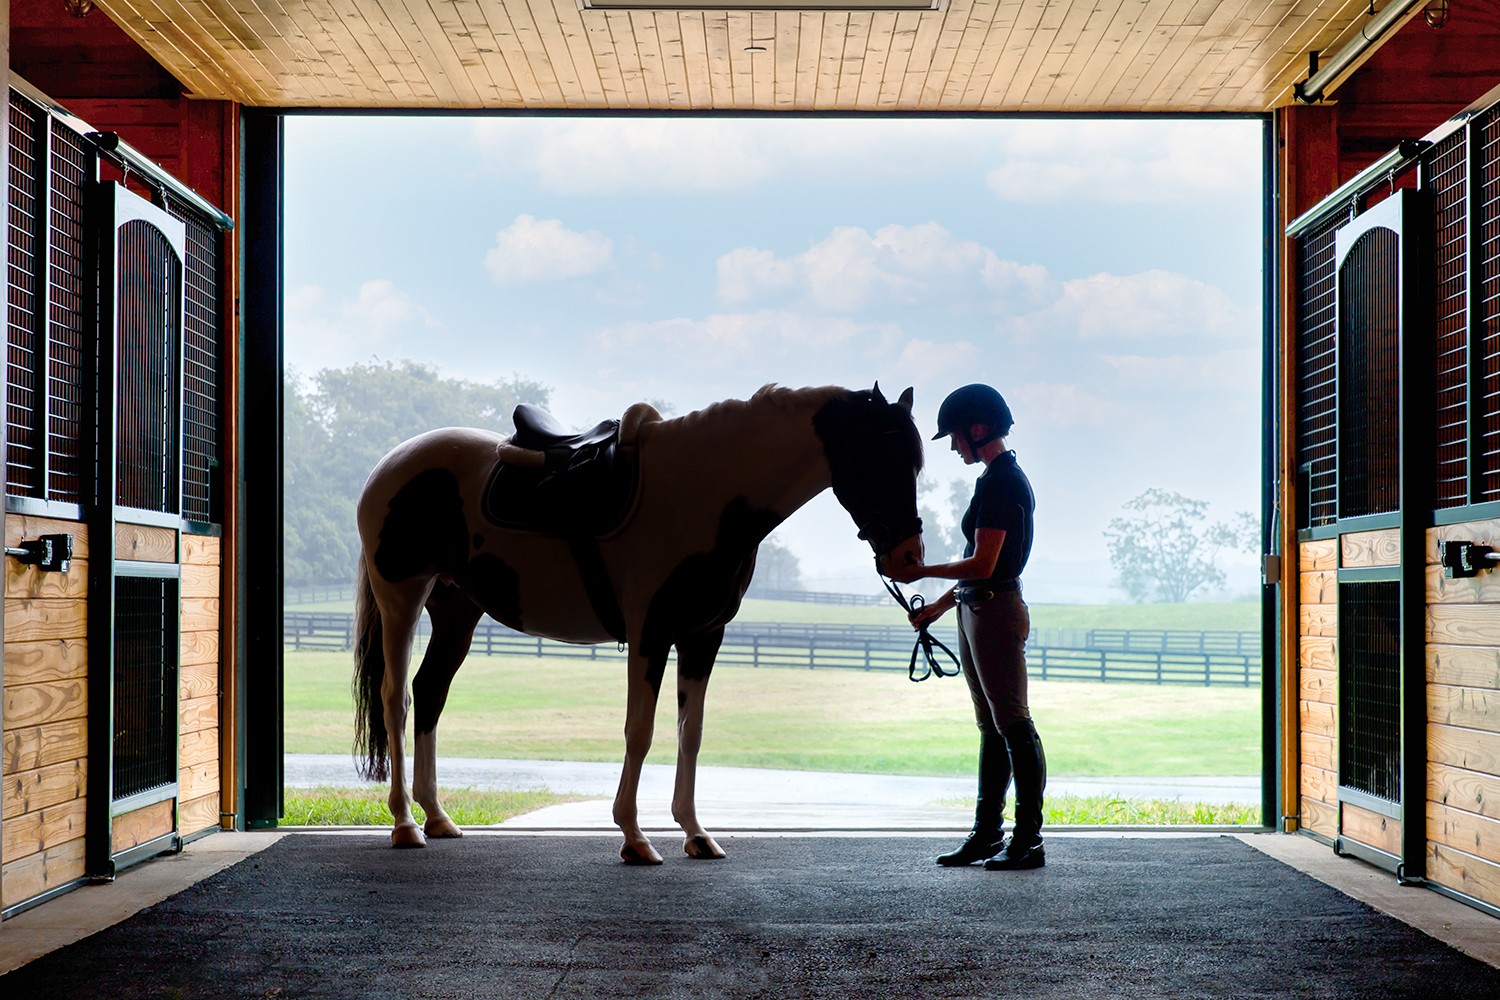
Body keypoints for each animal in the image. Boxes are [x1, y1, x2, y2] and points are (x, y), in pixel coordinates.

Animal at [351, 383, 924, 863]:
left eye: (913, 464)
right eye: (877, 458)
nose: (908, 558)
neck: (704, 493)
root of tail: (392, 464)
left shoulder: (702, 637)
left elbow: (690, 732)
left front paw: (695, 833)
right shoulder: (651, 634)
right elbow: (640, 731)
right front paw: (634, 836)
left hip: (456, 611)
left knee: (430, 693)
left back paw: (437, 817)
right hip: (402, 599)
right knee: (396, 699)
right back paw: (405, 825)